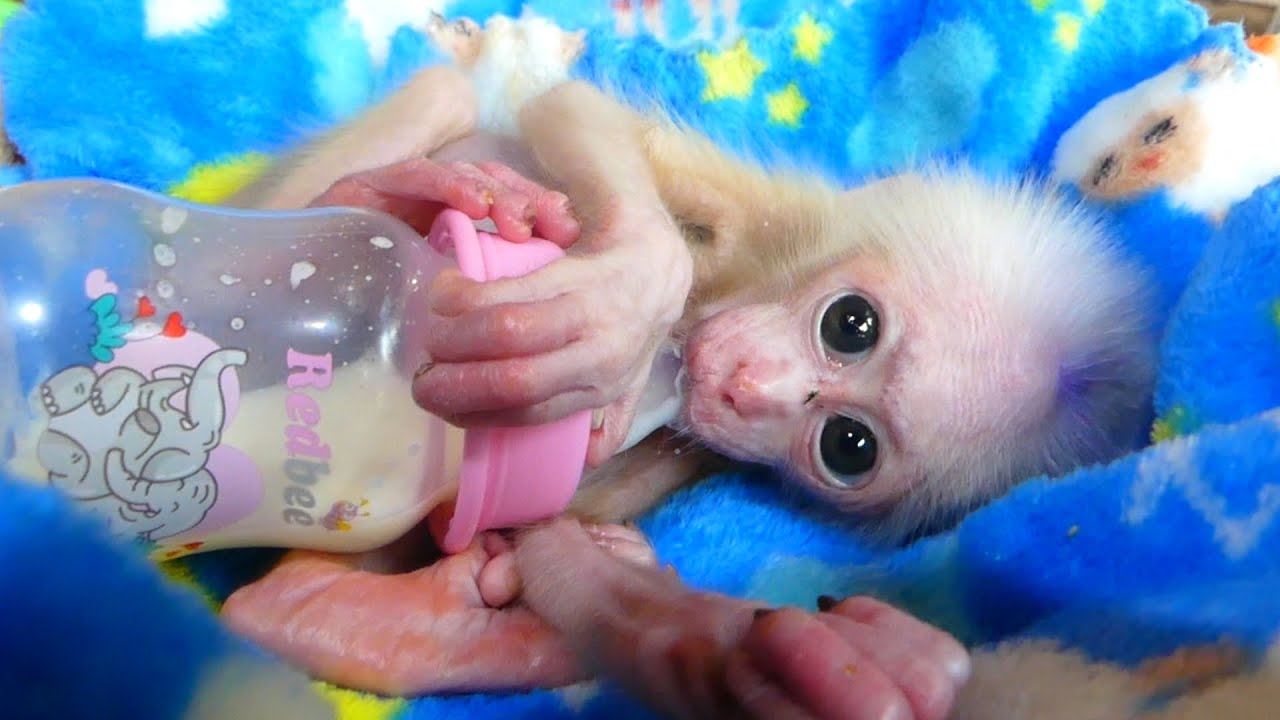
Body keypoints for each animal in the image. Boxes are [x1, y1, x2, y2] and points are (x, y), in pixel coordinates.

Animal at [217, 61, 1155, 720]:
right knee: (444, 88)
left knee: (290, 583)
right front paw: (618, 309)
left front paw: (726, 653)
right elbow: (573, 110)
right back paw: (368, 203)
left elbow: (543, 523)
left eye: (848, 446)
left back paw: (344, 615)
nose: (744, 386)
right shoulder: (773, 216)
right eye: (851, 324)